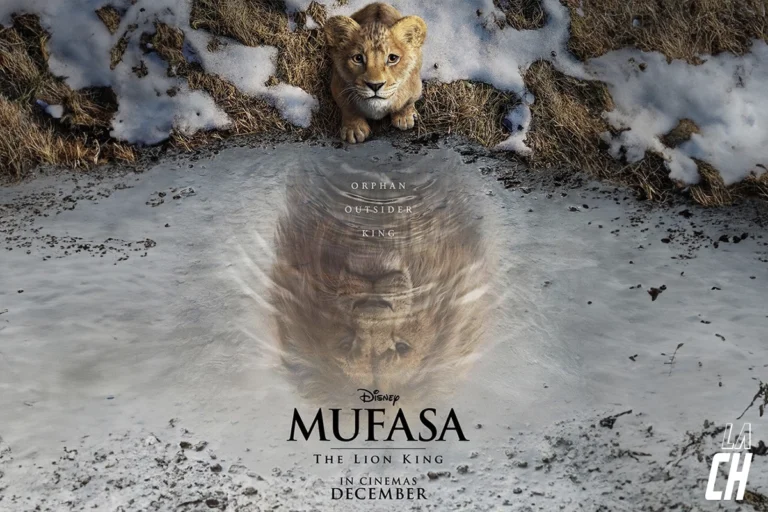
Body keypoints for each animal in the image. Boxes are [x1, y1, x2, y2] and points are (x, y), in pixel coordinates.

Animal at [324, 3, 427, 144]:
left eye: (392, 58)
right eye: (358, 58)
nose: (375, 85)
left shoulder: (415, 86)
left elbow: (407, 102)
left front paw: (404, 117)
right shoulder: (338, 86)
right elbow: (348, 108)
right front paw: (354, 129)